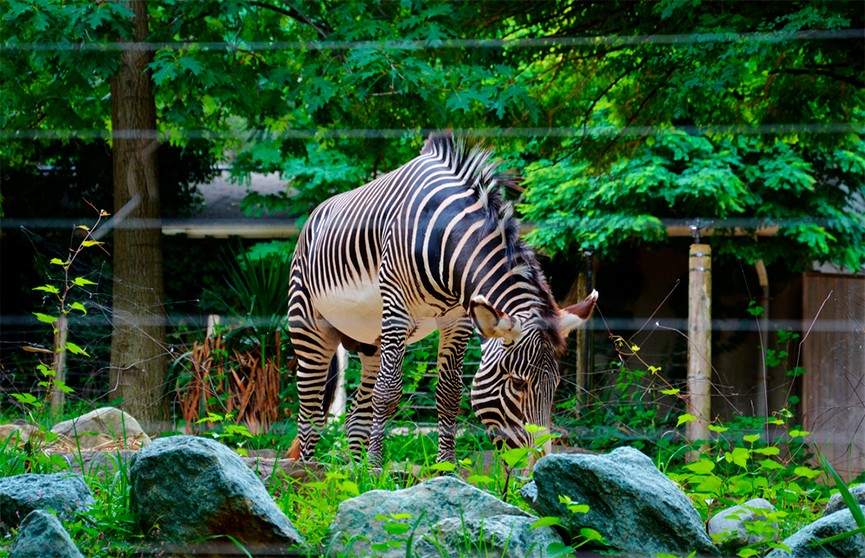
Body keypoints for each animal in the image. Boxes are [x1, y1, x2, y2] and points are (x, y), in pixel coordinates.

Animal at [286, 132, 596, 468]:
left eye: (555, 385)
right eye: (517, 383)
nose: (537, 467)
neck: (446, 236)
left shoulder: (457, 318)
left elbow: (449, 393)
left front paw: (445, 466)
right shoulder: (396, 307)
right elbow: (389, 391)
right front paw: (377, 468)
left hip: (370, 341)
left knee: (356, 414)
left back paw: (353, 473)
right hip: (310, 326)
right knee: (310, 409)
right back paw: (308, 471)